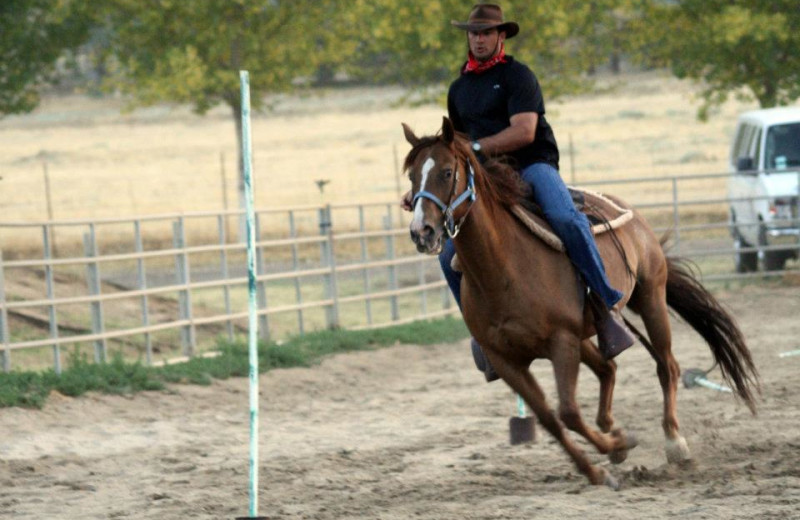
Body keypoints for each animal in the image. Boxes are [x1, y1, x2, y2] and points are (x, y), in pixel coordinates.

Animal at [404, 118, 760, 488]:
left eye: (447, 172)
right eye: (412, 176)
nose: (421, 231)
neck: (503, 268)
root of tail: (630, 213)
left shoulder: (562, 341)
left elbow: (569, 412)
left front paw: (614, 450)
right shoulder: (506, 360)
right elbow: (549, 419)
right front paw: (600, 463)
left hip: (650, 298)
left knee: (667, 366)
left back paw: (674, 442)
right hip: (587, 333)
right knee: (608, 368)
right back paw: (614, 433)